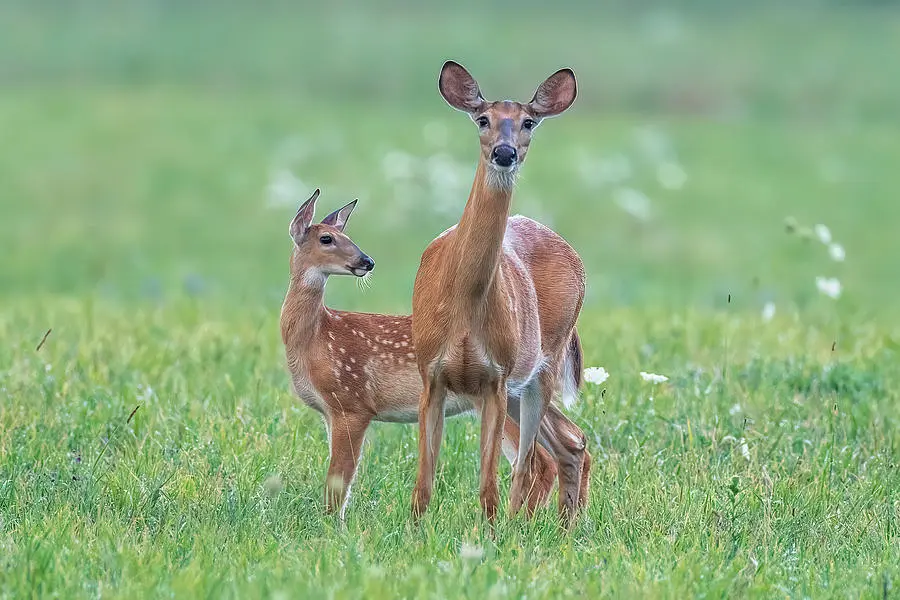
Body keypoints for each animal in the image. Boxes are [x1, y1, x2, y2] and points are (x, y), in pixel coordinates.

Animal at [279, 188, 590, 518]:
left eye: (345, 236)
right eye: (327, 238)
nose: (367, 261)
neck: (317, 338)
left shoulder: (352, 404)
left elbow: (338, 484)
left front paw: (331, 527)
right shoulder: (330, 412)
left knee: (540, 458)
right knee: (569, 440)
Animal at [410, 61, 588, 525]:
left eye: (529, 122)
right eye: (482, 119)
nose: (504, 153)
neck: (464, 303)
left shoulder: (496, 375)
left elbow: (487, 483)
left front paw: (489, 533)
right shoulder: (431, 373)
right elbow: (423, 482)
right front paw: (414, 530)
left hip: (542, 365)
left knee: (531, 461)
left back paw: (525, 526)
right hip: (517, 389)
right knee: (568, 441)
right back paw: (565, 527)